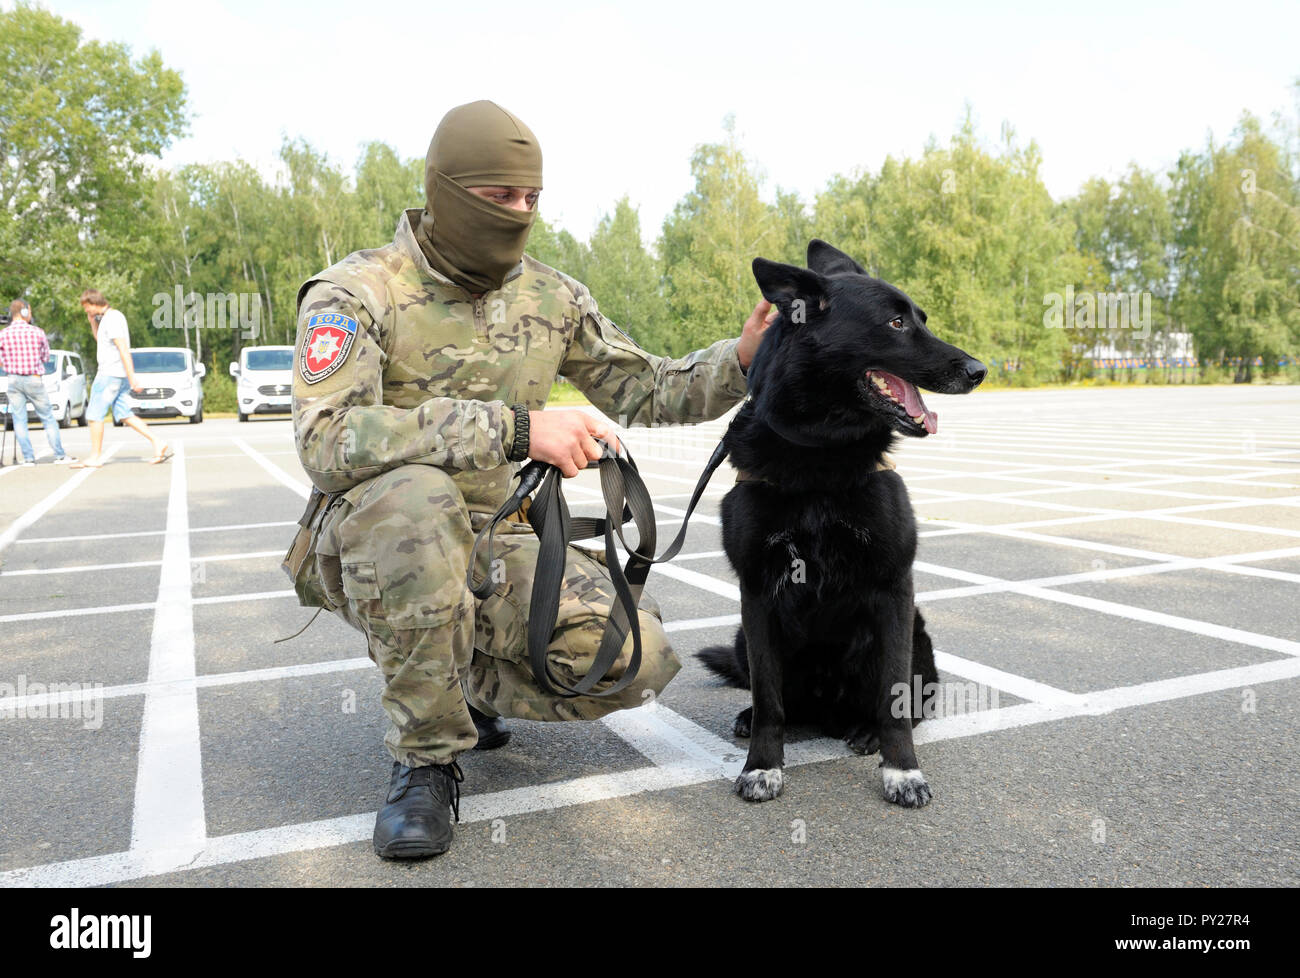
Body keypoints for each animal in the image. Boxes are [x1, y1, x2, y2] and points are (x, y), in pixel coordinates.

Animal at [702, 240, 982, 806]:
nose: (979, 370)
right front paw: (762, 765)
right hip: (744, 635)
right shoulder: (756, 593)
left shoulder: (894, 588)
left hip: (914, 636)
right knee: (780, 699)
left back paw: (867, 730)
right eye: (896, 322)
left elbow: (896, 702)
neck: (820, 451)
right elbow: (769, 699)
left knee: (908, 701)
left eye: (921, 318)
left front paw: (902, 771)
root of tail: (827, 710)